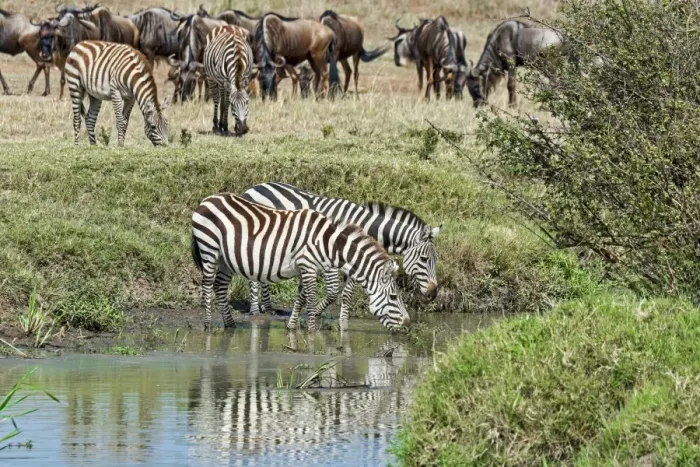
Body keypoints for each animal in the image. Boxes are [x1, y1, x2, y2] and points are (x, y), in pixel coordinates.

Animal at [191, 193, 410, 331]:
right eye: (393, 297)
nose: (408, 325)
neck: (329, 243)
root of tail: (207, 199)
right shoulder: (308, 266)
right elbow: (311, 301)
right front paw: (311, 332)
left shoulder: (308, 268)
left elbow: (301, 299)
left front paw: (291, 327)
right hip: (209, 249)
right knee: (208, 286)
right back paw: (208, 325)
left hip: (225, 258)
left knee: (219, 287)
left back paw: (229, 324)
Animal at [242, 182, 440, 331]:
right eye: (424, 259)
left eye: (435, 260)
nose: (433, 294)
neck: (363, 227)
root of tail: (255, 186)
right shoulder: (331, 257)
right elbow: (333, 292)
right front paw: (316, 313)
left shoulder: (353, 258)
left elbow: (346, 294)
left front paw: (341, 321)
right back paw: (255, 309)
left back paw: (267, 307)